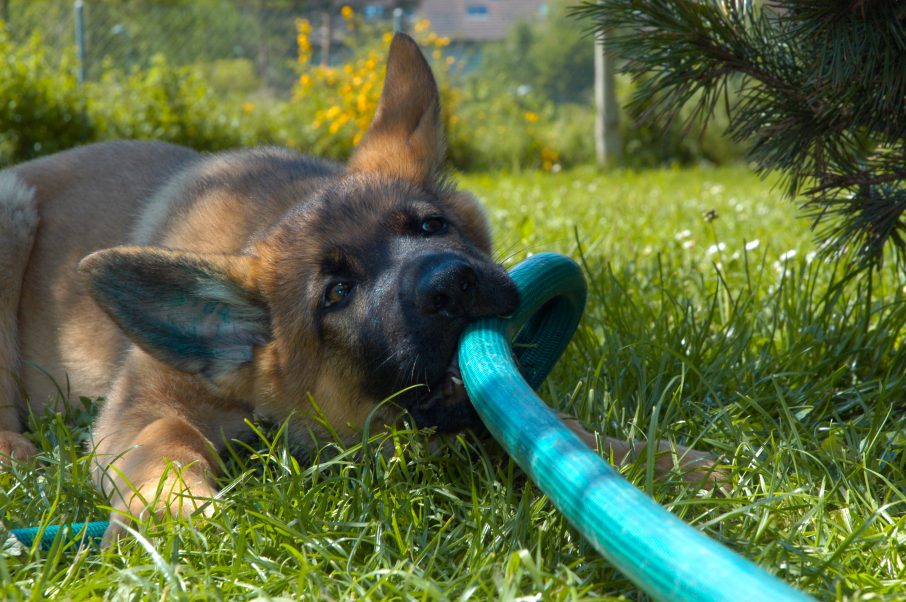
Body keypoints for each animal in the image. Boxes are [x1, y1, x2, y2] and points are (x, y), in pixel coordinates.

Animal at [0, 34, 720, 540]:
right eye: (336, 294)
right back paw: (14, 450)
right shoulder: (137, 410)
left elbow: (550, 432)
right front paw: (180, 511)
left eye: (430, 225)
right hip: (13, 214)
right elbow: (166, 441)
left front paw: (656, 464)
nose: (451, 286)